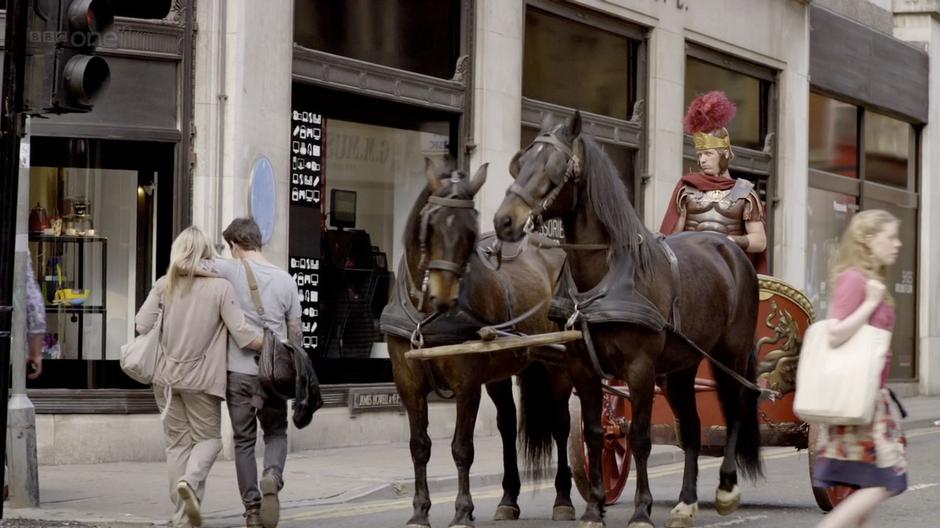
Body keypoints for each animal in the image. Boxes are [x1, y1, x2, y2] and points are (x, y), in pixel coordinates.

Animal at [382, 160, 572, 528]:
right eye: (431, 227)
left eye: (471, 231)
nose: (444, 296)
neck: (426, 314)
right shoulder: (407, 381)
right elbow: (419, 446)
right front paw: (420, 511)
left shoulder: (466, 382)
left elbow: (462, 448)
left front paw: (462, 511)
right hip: (502, 369)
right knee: (508, 424)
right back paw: (508, 500)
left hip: (558, 364)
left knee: (560, 423)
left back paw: (563, 499)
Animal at [492, 114, 764, 528]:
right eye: (520, 163)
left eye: (553, 168)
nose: (504, 221)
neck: (607, 276)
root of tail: (730, 251)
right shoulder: (583, 367)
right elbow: (593, 432)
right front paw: (594, 508)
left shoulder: (640, 368)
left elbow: (639, 437)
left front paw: (641, 510)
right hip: (681, 368)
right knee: (692, 428)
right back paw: (686, 502)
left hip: (728, 355)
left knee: (736, 409)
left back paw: (726, 489)